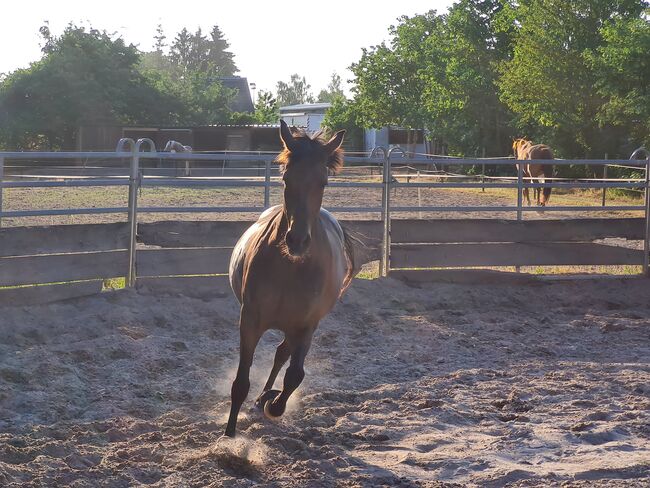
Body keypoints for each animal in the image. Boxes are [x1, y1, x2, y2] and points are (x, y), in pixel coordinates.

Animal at [223, 120, 354, 436]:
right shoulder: (250, 320)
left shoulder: (307, 325)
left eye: (323, 182)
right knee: (279, 354)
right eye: (285, 178)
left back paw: (265, 397)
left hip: (296, 328)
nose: (297, 240)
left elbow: (294, 376)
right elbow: (240, 383)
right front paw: (229, 435)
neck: (290, 269)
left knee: (283, 354)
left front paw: (272, 403)